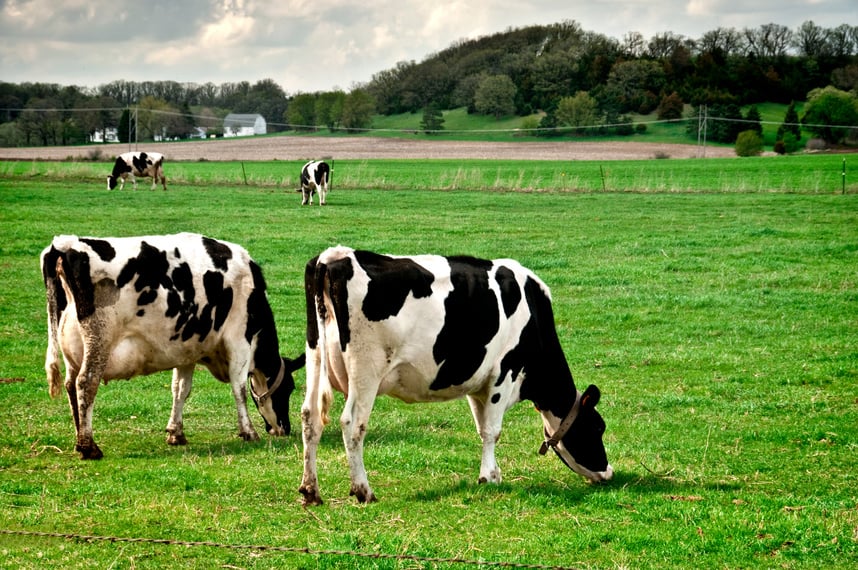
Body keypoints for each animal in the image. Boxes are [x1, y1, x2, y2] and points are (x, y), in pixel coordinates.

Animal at [43, 231, 306, 458]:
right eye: (289, 388)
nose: (284, 428)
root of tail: (65, 244)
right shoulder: (239, 341)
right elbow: (238, 388)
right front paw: (249, 431)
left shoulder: (186, 350)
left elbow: (180, 389)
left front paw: (175, 433)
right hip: (99, 340)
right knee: (86, 383)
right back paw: (89, 446)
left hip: (72, 348)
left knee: (70, 385)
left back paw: (79, 438)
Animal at [298, 244, 612, 502]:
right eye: (598, 427)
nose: (608, 472)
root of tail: (335, 256)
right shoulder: (504, 372)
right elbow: (493, 430)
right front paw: (489, 477)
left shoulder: (477, 381)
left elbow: (482, 427)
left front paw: (492, 473)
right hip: (366, 369)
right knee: (352, 423)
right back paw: (363, 490)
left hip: (315, 356)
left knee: (310, 416)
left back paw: (310, 490)